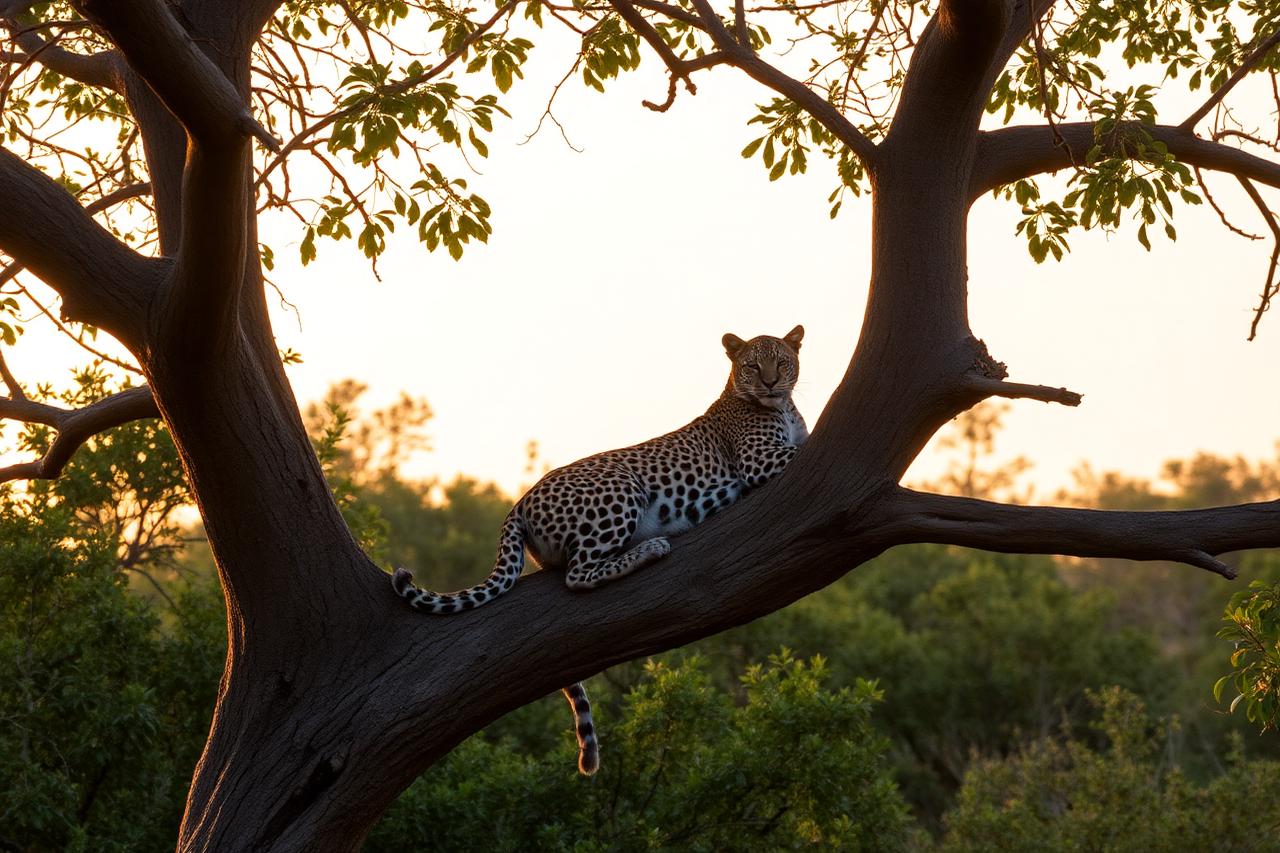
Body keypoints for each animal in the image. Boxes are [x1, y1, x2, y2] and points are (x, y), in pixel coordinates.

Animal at [392, 326, 808, 775]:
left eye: (781, 362)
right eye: (751, 365)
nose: (770, 383)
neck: (782, 407)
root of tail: (519, 502)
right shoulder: (757, 461)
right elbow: (801, 447)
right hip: (621, 487)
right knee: (578, 574)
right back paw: (650, 548)